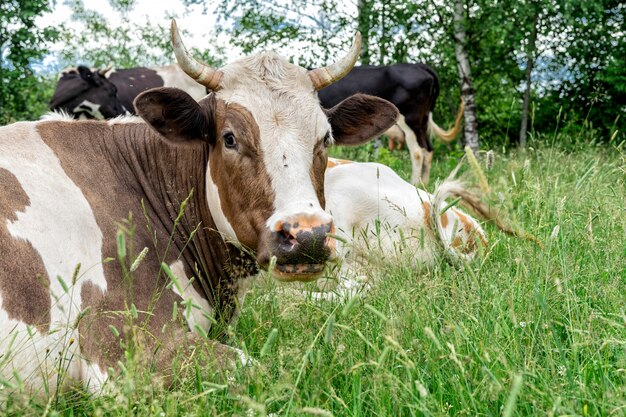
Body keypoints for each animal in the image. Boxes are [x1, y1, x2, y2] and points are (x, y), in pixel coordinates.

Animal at [320, 63, 460, 184]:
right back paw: (423, 183)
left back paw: (414, 182)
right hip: (423, 121)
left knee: (417, 151)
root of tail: (419, 66)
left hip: (410, 119)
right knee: (428, 148)